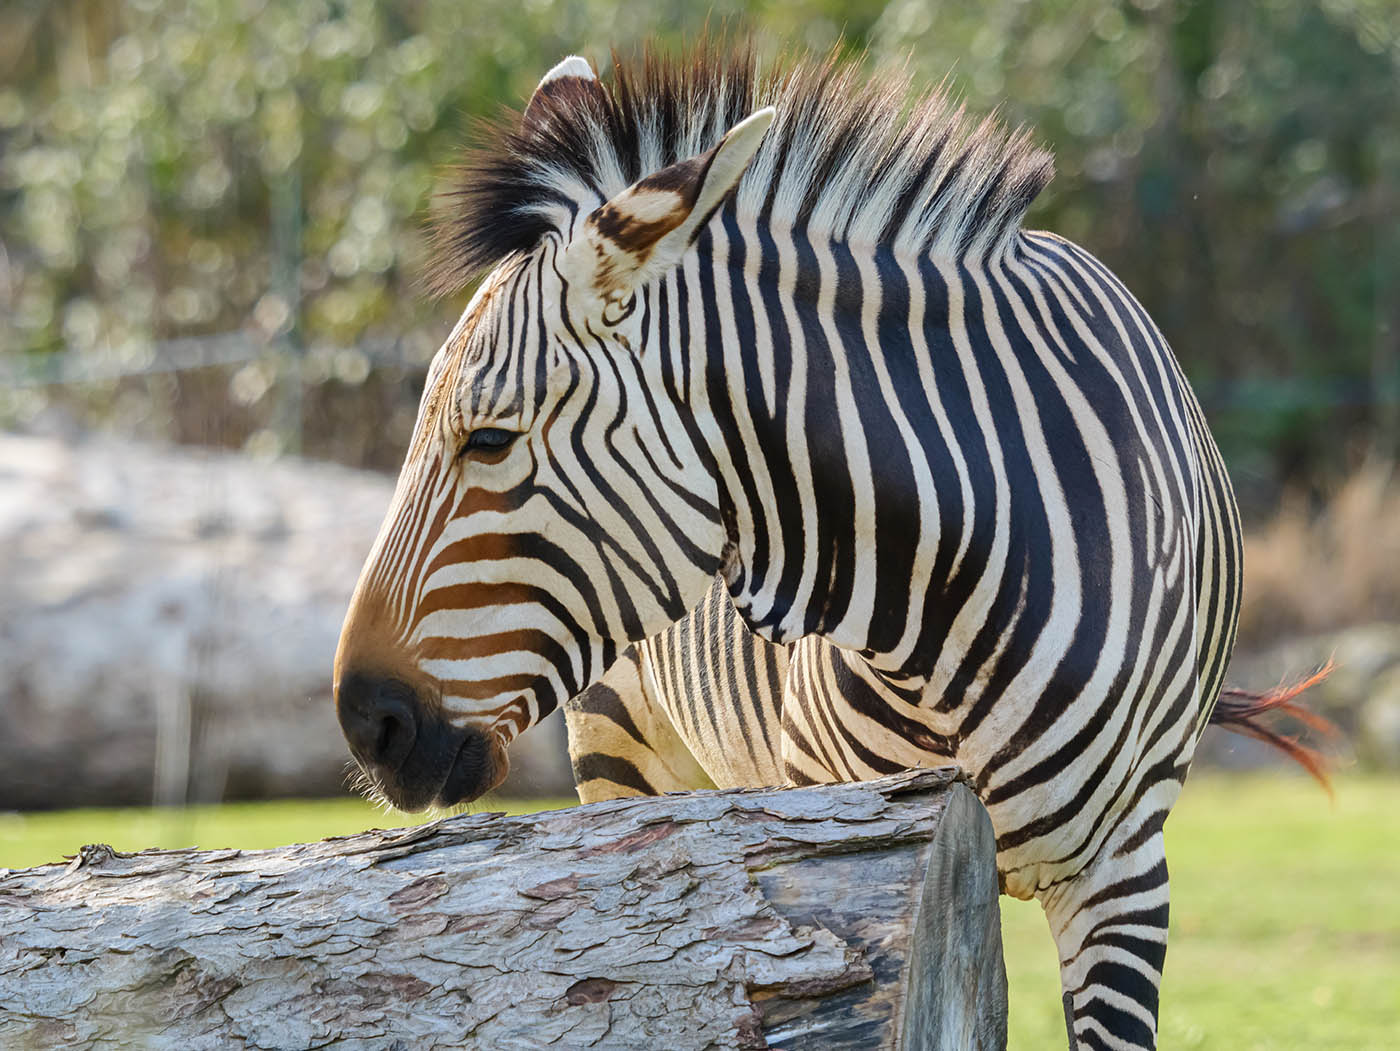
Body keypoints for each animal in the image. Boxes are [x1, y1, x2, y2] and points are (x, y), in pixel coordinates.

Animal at [336, 45, 1321, 1046]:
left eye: (489, 439)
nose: (366, 721)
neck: (957, 589)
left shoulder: (1123, 878)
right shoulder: (847, 811)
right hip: (622, 748)